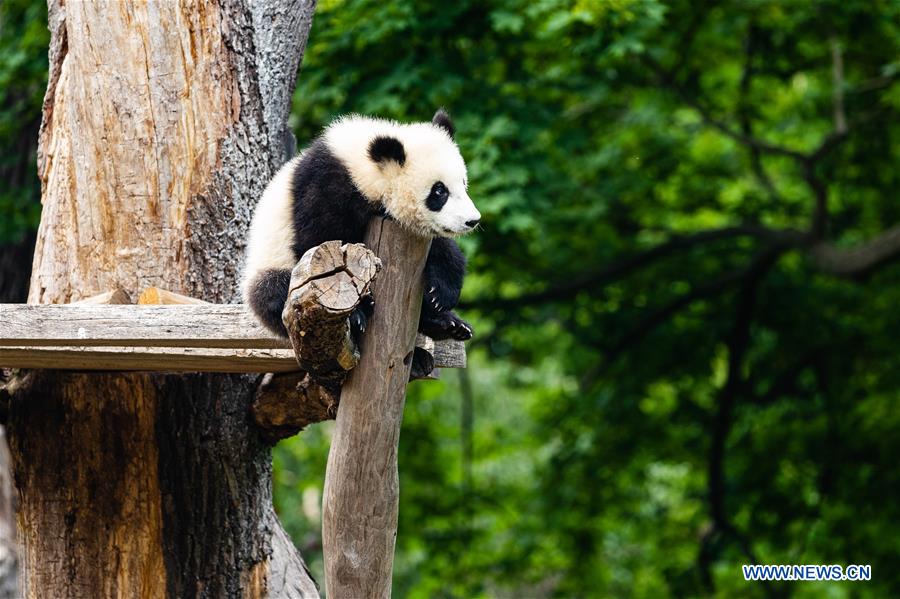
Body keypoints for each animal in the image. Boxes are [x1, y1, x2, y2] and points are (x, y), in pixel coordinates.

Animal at [239, 108, 478, 342]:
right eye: (439, 191)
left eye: (463, 183)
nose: (472, 220)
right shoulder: (324, 189)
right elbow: (317, 245)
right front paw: (356, 312)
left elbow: (442, 247)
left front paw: (441, 295)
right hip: (271, 263)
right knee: (274, 291)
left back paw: (450, 324)